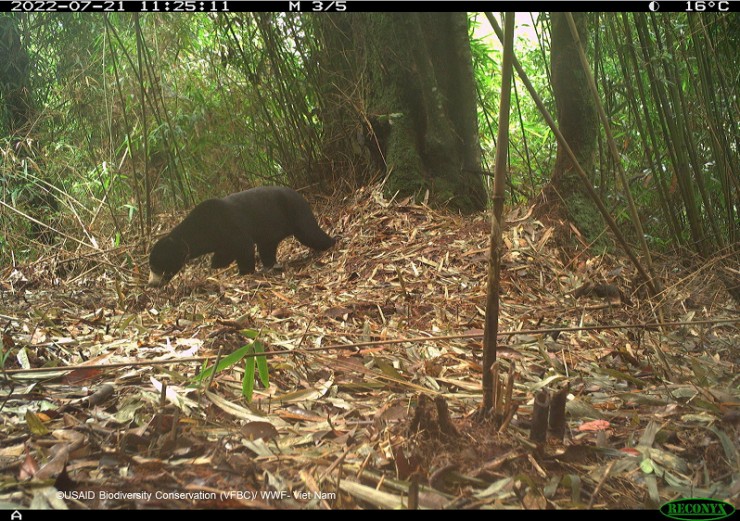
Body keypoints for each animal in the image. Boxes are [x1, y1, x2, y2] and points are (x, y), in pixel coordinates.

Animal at [149, 186, 334, 286]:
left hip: (296, 213)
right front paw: (217, 263)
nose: (152, 284)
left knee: (311, 233)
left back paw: (332, 242)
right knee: (267, 248)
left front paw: (243, 272)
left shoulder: (229, 225)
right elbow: (226, 251)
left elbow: (243, 245)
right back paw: (270, 265)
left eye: (156, 268)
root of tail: (301, 196)